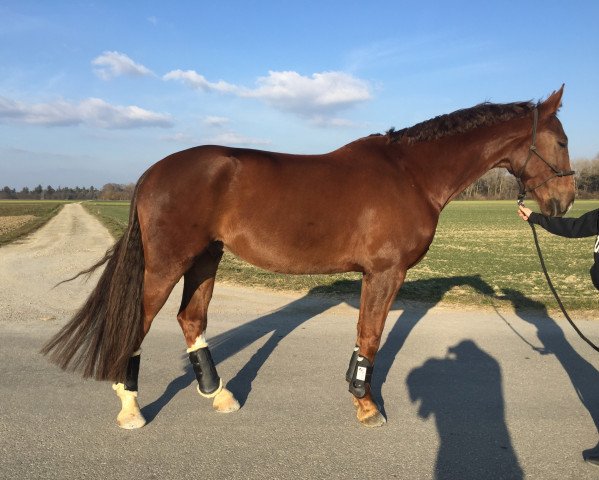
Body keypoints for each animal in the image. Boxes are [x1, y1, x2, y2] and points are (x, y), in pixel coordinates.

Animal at [42, 86, 576, 428]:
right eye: (563, 140)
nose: (566, 201)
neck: (410, 173)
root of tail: (153, 171)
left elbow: (365, 336)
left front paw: (360, 398)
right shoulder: (385, 272)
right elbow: (371, 337)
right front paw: (367, 407)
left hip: (205, 259)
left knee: (191, 319)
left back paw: (221, 396)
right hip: (167, 264)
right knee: (140, 322)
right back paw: (130, 408)